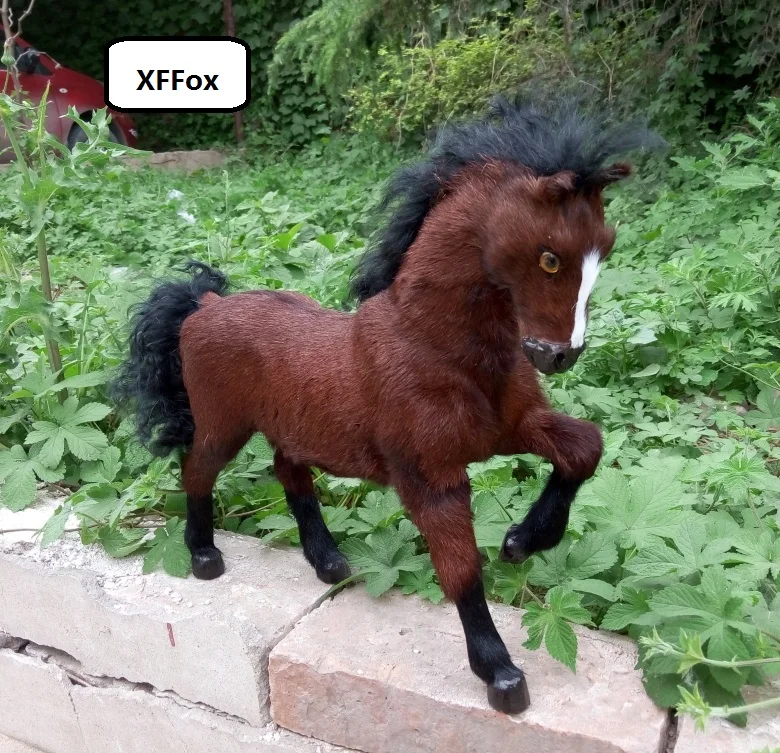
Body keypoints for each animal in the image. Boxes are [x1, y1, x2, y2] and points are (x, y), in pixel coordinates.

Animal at [113, 96, 660, 715]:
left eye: (606, 248)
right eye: (550, 258)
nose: (559, 355)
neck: (432, 346)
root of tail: (204, 303)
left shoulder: (511, 428)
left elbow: (585, 448)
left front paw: (523, 541)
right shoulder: (430, 477)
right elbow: (461, 569)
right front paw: (500, 675)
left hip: (293, 427)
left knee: (288, 472)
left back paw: (328, 562)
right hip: (222, 424)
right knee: (197, 470)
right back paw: (204, 556)